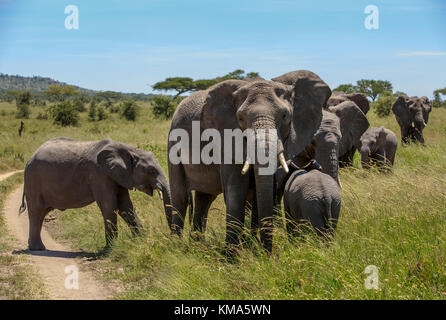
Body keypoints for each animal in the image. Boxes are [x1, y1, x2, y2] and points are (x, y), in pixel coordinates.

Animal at [20, 137, 172, 250]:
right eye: (152, 170)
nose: (170, 236)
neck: (129, 149)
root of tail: (29, 159)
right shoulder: (99, 175)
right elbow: (109, 206)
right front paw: (110, 249)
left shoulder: (119, 175)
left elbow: (126, 206)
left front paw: (141, 241)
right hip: (33, 180)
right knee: (36, 212)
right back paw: (37, 249)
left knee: (41, 213)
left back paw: (37, 248)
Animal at [167, 70, 332, 252]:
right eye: (240, 118)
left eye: (285, 116)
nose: (269, 253)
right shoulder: (226, 138)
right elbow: (236, 190)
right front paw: (232, 255)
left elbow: (261, 193)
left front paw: (253, 249)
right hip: (173, 140)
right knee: (180, 196)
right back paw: (175, 246)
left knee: (204, 198)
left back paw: (198, 245)